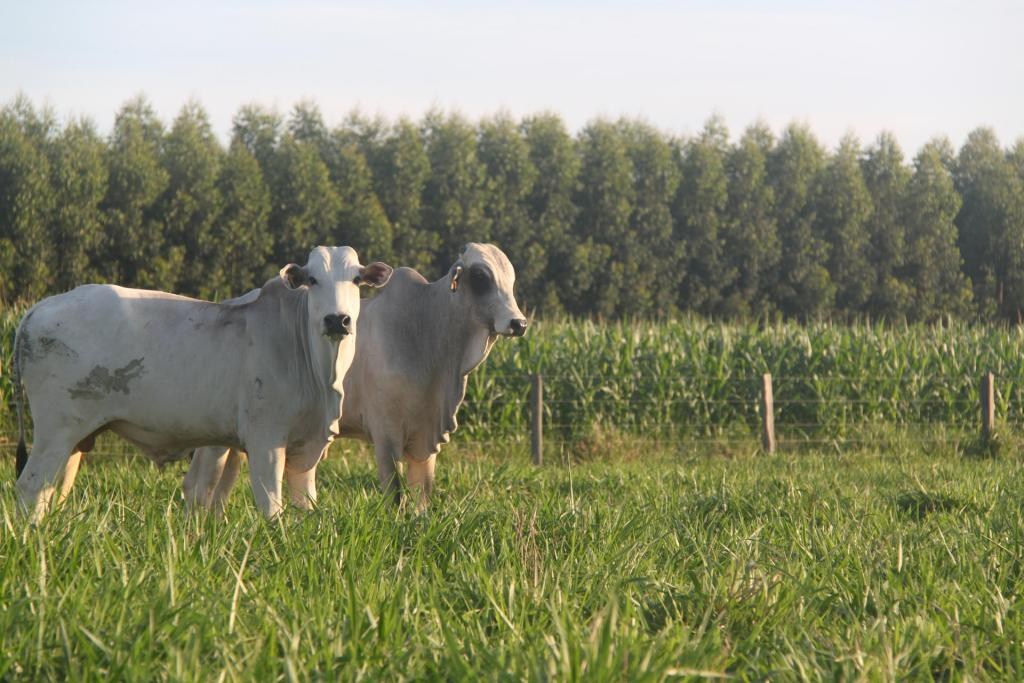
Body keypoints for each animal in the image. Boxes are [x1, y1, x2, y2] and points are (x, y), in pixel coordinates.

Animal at [14, 248, 393, 520]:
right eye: (312, 279)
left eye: (357, 279)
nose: (337, 320)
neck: (321, 372)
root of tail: (38, 309)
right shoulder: (265, 440)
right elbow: (271, 507)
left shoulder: (305, 450)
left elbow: (304, 507)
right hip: (55, 431)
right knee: (30, 489)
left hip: (76, 440)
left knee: (53, 492)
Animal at [181, 242, 528, 509]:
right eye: (481, 277)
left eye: (511, 280)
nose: (519, 323)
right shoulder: (386, 433)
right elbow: (395, 495)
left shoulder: (426, 439)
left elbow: (423, 499)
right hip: (213, 438)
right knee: (198, 487)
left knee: (219, 492)